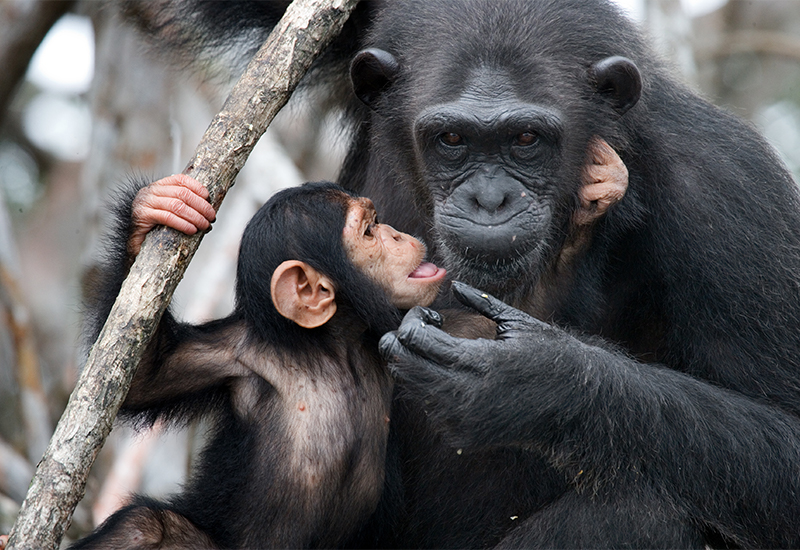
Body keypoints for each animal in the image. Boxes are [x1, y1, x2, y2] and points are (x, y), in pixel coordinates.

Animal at [74, 179, 446, 548]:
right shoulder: (233, 354)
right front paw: (157, 208)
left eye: (377, 222)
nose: (396, 234)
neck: (333, 348)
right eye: (369, 231)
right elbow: (145, 376)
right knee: (143, 526)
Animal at [117, 0, 800, 548]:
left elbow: (783, 437)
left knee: (646, 511)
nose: (489, 198)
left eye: (526, 139)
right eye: (451, 139)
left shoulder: (729, 196)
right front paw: (154, 214)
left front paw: (532, 382)